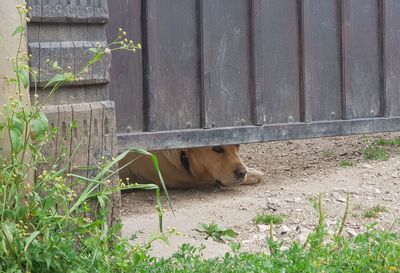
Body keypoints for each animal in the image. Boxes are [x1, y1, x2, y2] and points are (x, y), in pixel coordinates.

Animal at [119, 144, 264, 187]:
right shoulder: (181, 178)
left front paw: (250, 170)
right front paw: (253, 174)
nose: (242, 173)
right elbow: (207, 178)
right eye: (217, 148)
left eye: (237, 145)